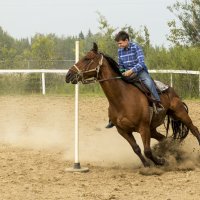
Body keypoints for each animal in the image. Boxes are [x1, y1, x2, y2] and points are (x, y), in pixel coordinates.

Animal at [65, 42, 199, 167]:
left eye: (87, 58)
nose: (68, 75)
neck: (122, 99)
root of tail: (170, 88)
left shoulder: (143, 128)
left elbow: (147, 151)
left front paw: (160, 161)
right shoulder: (123, 130)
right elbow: (136, 149)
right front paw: (147, 165)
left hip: (179, 112)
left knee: (194, 129)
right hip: (153, 128)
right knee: (165, 139)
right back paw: (175, 153)